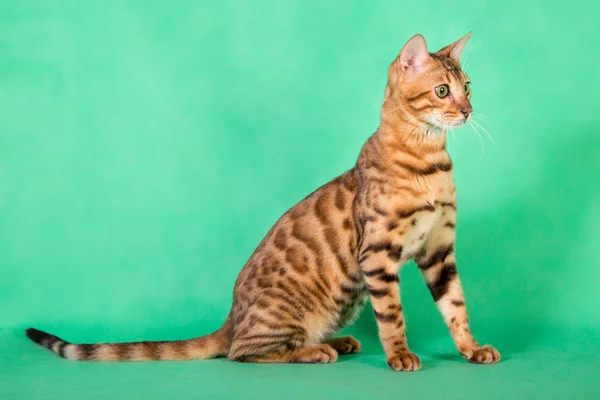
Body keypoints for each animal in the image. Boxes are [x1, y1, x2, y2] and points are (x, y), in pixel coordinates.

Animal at [25, 32, 500, 370]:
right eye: (442, 91)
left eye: (469, 87)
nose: (467, 111)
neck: (430, 162)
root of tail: (231, 317)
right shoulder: (379, 252)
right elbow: (393, 314)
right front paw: (399, 354)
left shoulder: (439, 249)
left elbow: (456, 306)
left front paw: (471, 348)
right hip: (300, 310)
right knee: (243, 352)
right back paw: (313, 352)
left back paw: (336, 342)